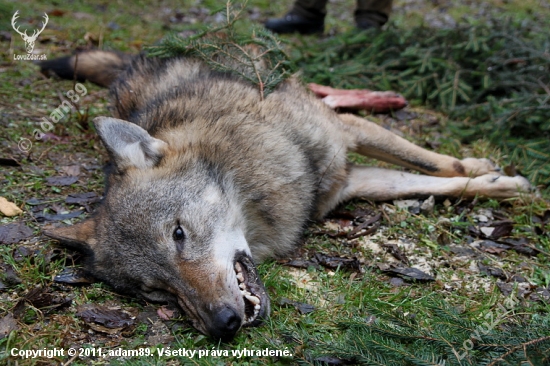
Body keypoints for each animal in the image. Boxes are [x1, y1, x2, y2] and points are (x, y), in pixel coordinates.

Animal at [41, 48, 532, 340]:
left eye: (178, 234)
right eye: (156, 292)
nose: (222, 325)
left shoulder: (345, 136)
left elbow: (438, 167)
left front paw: (496, 178)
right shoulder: (347, 183)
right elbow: (429, 179)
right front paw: (499, 183)